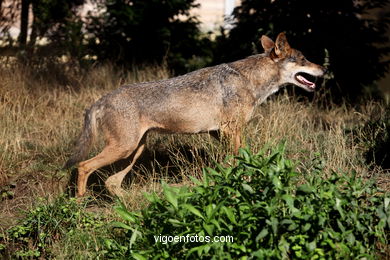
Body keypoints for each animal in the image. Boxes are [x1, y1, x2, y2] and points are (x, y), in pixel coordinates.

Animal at [64, 32, 326, 197]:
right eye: (304, 59)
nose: (324, 68)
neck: (251, 80)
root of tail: (100, 100)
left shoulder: (221, 133)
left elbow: (240, 160)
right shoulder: (231, 130)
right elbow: (239, 162)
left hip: (134, 151)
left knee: (110, 182)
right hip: (124, 149)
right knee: (83, 167)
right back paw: (80, 205)